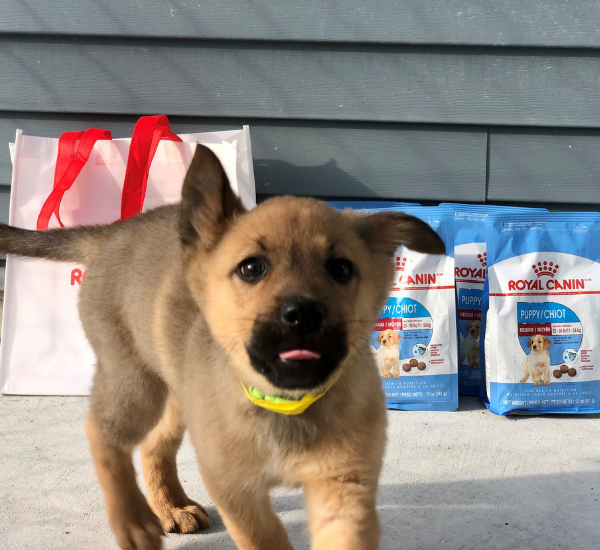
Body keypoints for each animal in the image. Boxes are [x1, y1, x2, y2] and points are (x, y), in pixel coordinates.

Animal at [1, 147, 446, 550]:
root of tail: (112, 231)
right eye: (252, 268)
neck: (284, 406)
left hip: (177, 395)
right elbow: (266, 541)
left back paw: (170, 507)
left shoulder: (343, 487)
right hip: (135, 382)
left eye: (341, 269)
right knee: (101, 432)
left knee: (154, 443)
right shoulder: (235, 488)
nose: (303, 314)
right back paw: (133, 521)